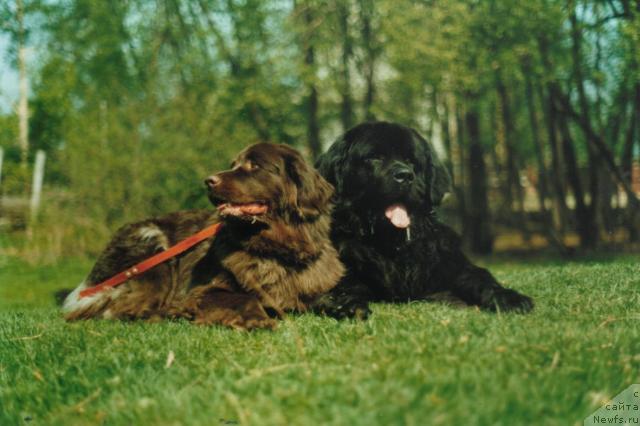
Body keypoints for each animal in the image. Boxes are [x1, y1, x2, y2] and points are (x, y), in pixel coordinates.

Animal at [62, 143, 344, 330]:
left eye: (254, 166)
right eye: (233, 165)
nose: (209, 181)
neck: (275, 249)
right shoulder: (202, 290)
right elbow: (246, 297)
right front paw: (257, 320)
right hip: (154, 249)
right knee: (119, 310)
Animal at [312, 121, 532, 318]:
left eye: (411, 161)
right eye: (374, 157)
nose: (405, 175)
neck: (392, 243)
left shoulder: (452, 264)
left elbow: (481, 277)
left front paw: (510, 297)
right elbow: (340, 283)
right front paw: (347, 304)